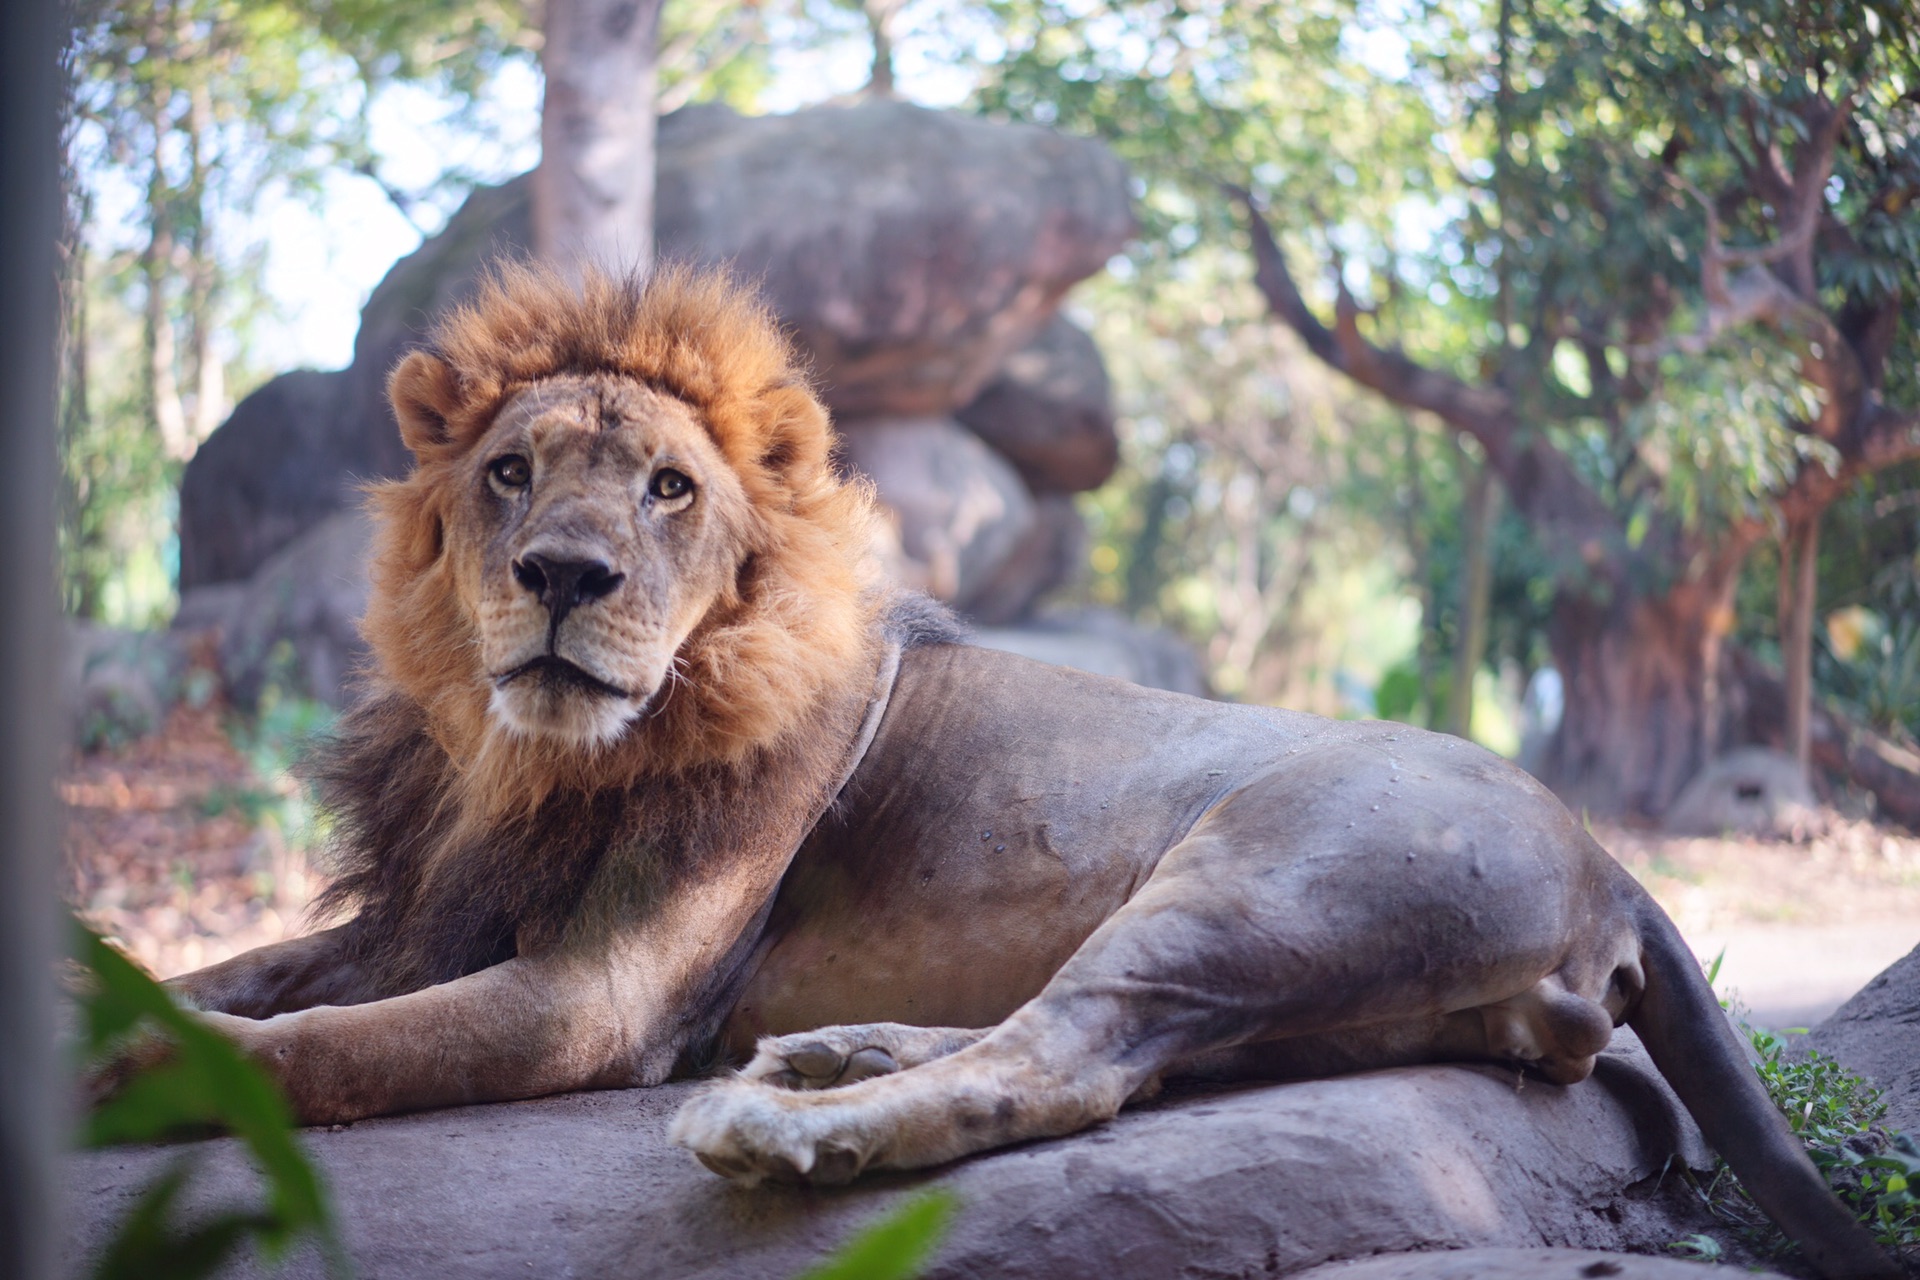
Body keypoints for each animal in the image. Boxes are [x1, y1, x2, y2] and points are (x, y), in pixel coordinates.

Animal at [149, 264, 1889, 1274]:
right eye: (509, 474)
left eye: (666, 490)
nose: (564, 578)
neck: (524, 763)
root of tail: (1617, 859)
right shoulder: (414, 915)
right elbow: (230, 982)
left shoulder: (601, 998)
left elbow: (320, 1051)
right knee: (1120, 1052)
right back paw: (835, 1056)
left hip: (1259, 878)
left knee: (1073, 1063)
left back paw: (787, 1130)